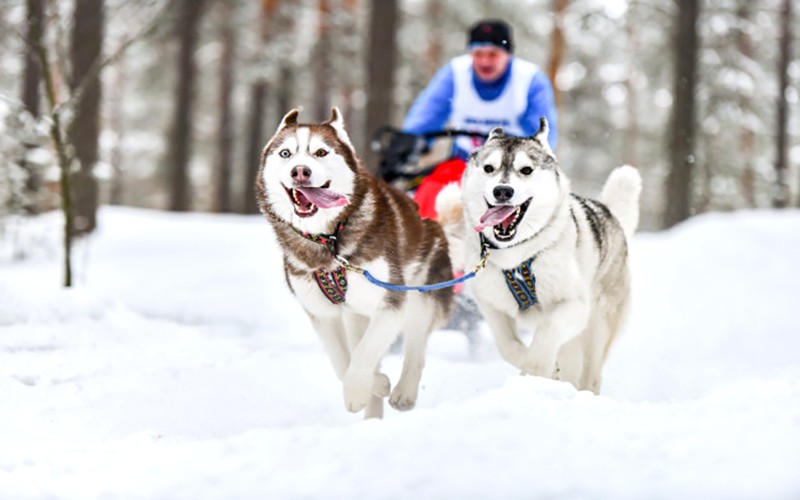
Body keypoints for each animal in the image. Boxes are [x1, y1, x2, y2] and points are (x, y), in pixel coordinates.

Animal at [258, 108, 456, 418]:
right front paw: (374, 384)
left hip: (422, 296)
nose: (300, 171)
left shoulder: (391, 303)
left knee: (416, 346)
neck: (329, 241)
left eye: (321, 152)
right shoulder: (321, 314)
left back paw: (404, 392)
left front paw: (357, 391)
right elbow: (343, 362)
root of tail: (433, 222)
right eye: (286, 153)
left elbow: (362, 355)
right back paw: (373, 416)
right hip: (357, 314)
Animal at [440, 118, 640, 394]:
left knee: (589, 373)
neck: (516, 258)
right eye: (489, 168)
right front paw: (540, 372)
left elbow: (548, 330)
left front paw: (536, 369)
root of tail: (609, 214)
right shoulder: (491, 306)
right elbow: (508, 346)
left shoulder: (575, 305)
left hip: (598, 326)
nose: (503, 191)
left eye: (526, 170)